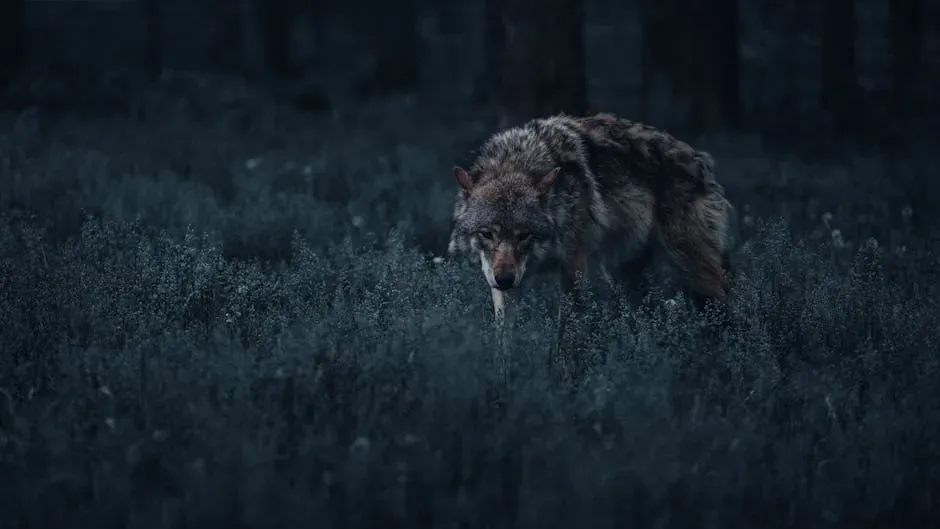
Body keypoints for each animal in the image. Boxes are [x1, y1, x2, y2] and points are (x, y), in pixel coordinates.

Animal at [446, 112, 734, 323]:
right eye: (487, 234)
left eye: (525, 235)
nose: (504, 279)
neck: (517, 163)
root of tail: (700, 159)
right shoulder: (501, 283)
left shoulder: (574, 266)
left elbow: (567, 335)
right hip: (623, 276)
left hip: (694, 273)